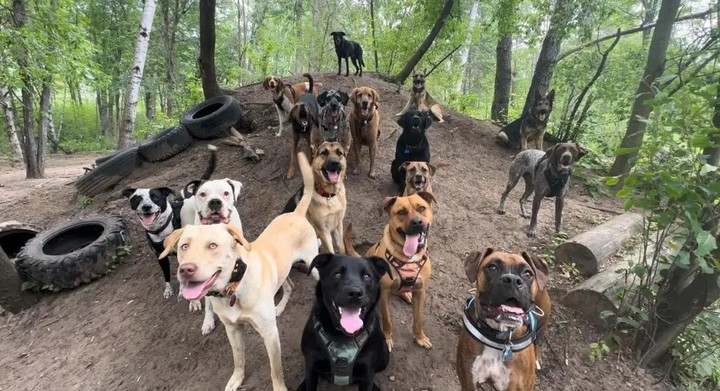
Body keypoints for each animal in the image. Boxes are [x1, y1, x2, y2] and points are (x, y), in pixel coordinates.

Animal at [160, 152, 318, 391]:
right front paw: (236, 379)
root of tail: (296, 213)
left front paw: (279, 387)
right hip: (281, 271)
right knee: (289, 286)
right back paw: (279, 307)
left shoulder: (270, 334)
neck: (234, 288)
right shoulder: (232, 330)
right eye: (184, 246)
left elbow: (275, 370)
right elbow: (238, 359)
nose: (186, 269)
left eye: (213, 246)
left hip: (313, 264)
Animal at [296, 253, 390, 390]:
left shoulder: (367, 373)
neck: (343, 335)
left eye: (367, 276)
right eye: (337, 274)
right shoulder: (311, 366)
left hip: (385, 356)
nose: (355, 293)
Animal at [346, 192, 436, 352]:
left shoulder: (420, 290)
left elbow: (418, 319)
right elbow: (388, 321)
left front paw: (419, 337)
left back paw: (406, 294)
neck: (408, 257)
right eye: (401, 212)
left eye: (421, 208)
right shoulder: (385, 292)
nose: (417, 222)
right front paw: (387, 339)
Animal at [456, 250, 552, 391]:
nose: (513, 280)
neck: (499, 336)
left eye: (527, 273)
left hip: (543, 323)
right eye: (492, 267)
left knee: (537, 341)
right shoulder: (468, 382)